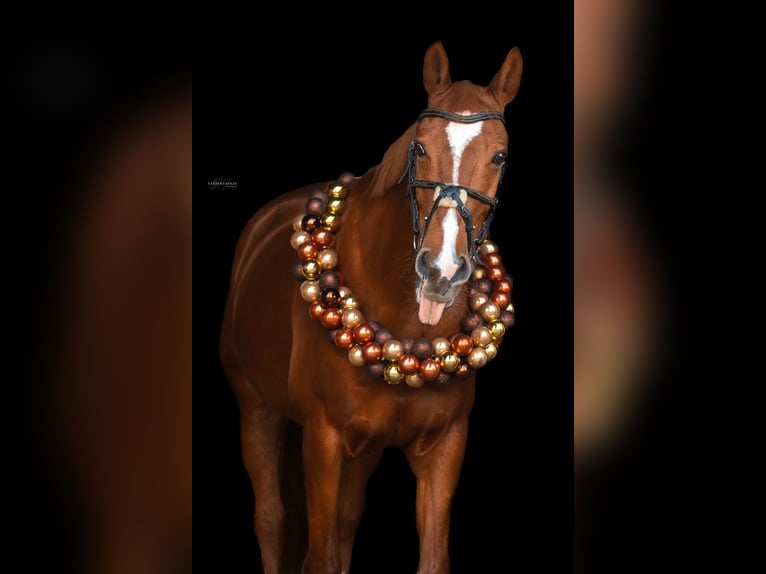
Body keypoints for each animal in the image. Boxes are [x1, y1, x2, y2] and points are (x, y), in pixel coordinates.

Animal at [220, 41, 522, 574]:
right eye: (419, 147)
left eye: (499, 155)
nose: (442, 269)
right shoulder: (322, 440)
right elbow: (318, 556)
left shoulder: (445, 447)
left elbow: (429, 557)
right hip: (255, 407)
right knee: (271, 520)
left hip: (365, 451)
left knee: (346, 520)